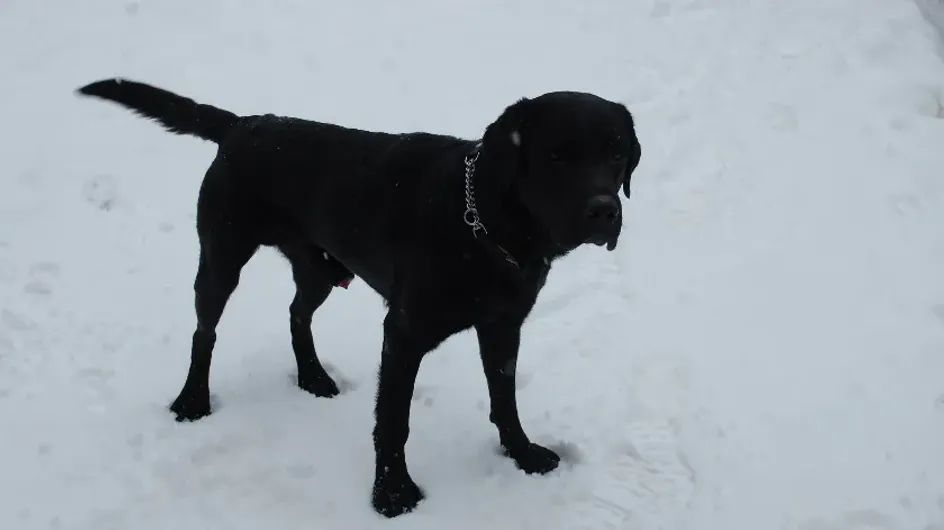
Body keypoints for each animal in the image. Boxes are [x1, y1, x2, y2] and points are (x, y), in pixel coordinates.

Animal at [77, 78, 644, 516]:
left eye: (617, 153)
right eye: (557, 155)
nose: (604, 210)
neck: (484, 222)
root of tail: (243, 123)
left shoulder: (504, 324)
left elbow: (505, 399)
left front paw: (522, 454)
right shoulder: (405, 331)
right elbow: (393, 420)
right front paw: (392, 493)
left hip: (321, 268)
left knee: (296, 313)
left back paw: (313, 377)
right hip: (222, 255)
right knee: (205, 330)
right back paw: (193, 400)